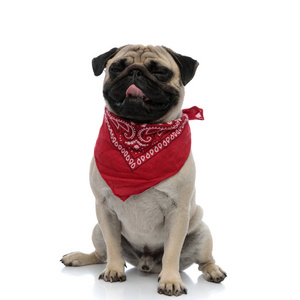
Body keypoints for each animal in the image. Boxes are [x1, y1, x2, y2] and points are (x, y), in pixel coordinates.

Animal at [60, 44, 225, 296]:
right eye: (117, 68)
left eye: (160, 72)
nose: (135, 72)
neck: (138, 131)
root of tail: (146, 263)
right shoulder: (104, 209)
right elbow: (113, 246)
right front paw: (114, 270)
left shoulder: (178, 213)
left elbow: (171, 252)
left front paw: (170, 280)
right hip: (97, 229)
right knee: (101, 253)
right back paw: (79, 257)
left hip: (202, 233)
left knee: (204, 260)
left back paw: (214, 271)